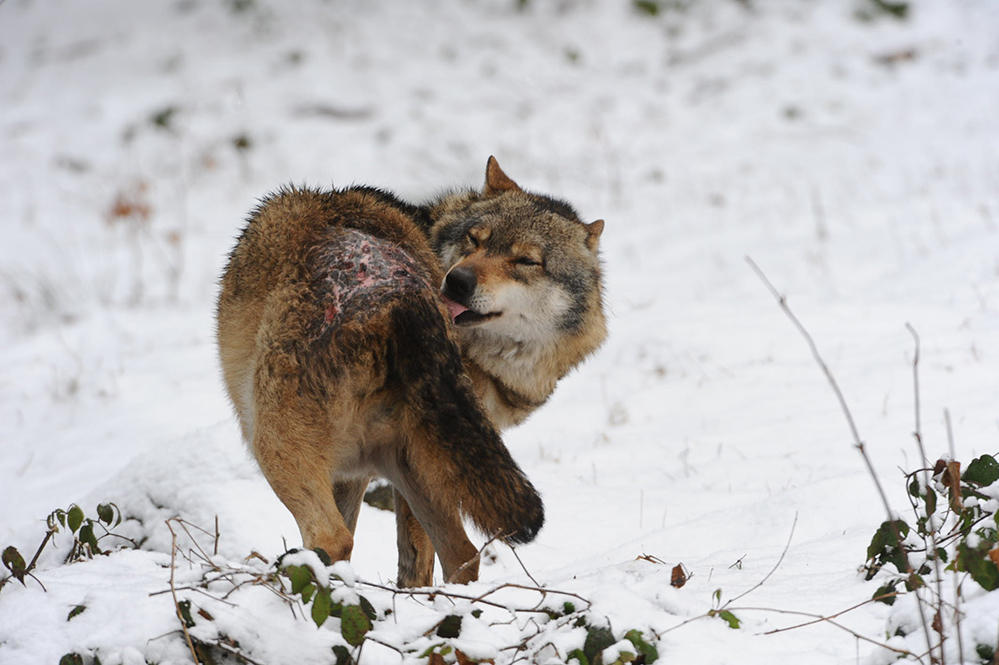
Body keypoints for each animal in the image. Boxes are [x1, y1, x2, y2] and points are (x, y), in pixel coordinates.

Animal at [218, 158, 604, 584]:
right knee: (462, 554)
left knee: (333, 536)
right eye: (474, 240)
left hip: (278, 443)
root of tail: (402, 293)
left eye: (527, 261)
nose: (458, 281)